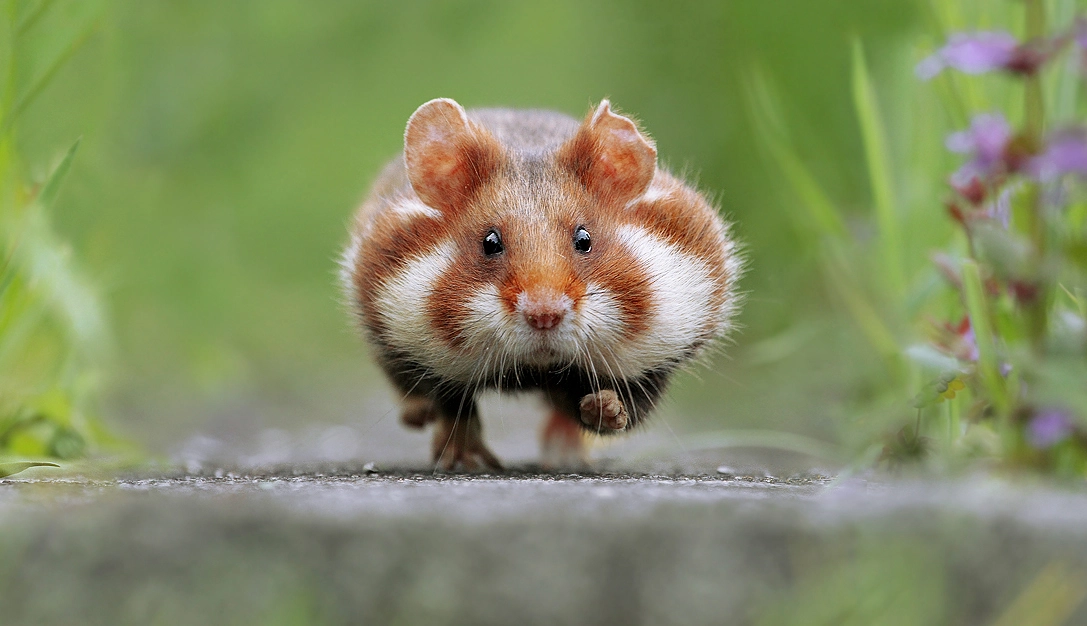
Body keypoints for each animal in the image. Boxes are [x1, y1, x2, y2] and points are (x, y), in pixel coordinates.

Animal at [341, 98, 741, 469]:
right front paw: (465, 458)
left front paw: (603, 408)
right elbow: (453, 405)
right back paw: (419, 415)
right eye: (490, 242)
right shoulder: (409, 345)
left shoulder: (656, 362)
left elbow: (627, 409)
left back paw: (563, 455)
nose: (544, 316)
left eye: (584, 239)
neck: (537, 368)